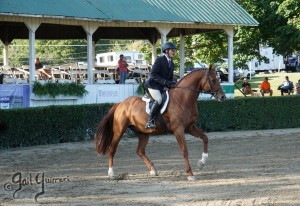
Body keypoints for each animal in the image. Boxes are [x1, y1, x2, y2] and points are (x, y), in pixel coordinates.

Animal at [94, 67, 225, 180]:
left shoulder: (190, 127)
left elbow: (205, 138)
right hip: (119, 130)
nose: (222, 97)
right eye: (213, 80)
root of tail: (120, 104)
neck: (183, 98)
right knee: (112, 148)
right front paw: (190, 174)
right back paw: (111, 173)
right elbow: (184, 151)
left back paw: (153, 170)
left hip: (143, 132)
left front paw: (201, 162)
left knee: (140, 151)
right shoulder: (178, 129)